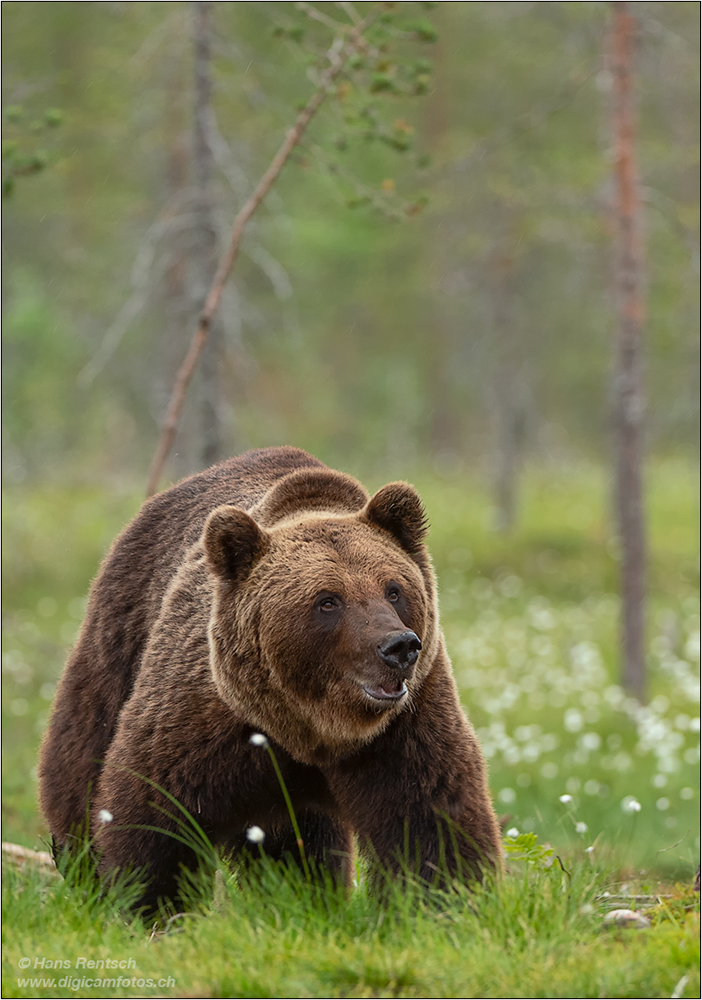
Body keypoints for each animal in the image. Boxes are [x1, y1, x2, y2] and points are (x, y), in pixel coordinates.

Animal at [38, 450, 504, 912]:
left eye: (394, 589)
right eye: (328, 601)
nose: (399, 646)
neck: (313, 724)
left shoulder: (405, 725)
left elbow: (430, 818)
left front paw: (447, 902)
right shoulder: (205, 717)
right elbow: (157, 811)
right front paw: (152, 905)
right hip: (118, 639)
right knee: (78, 764)